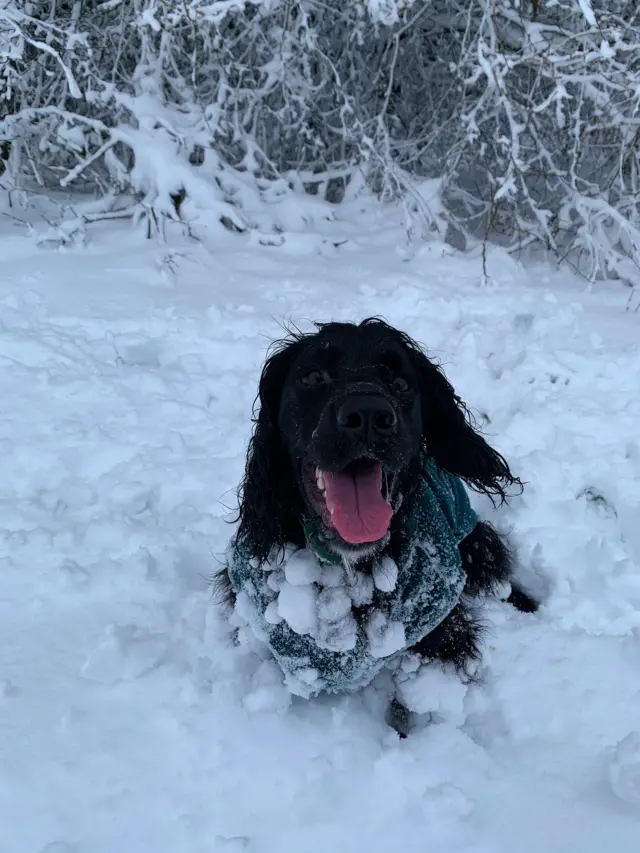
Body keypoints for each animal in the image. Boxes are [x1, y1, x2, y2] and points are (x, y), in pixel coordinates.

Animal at [218, 320, 536, 724]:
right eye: (312, 376)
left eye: (401, 383)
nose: (368, 415)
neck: (351, 571)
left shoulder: (443, 630)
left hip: (474, 542)